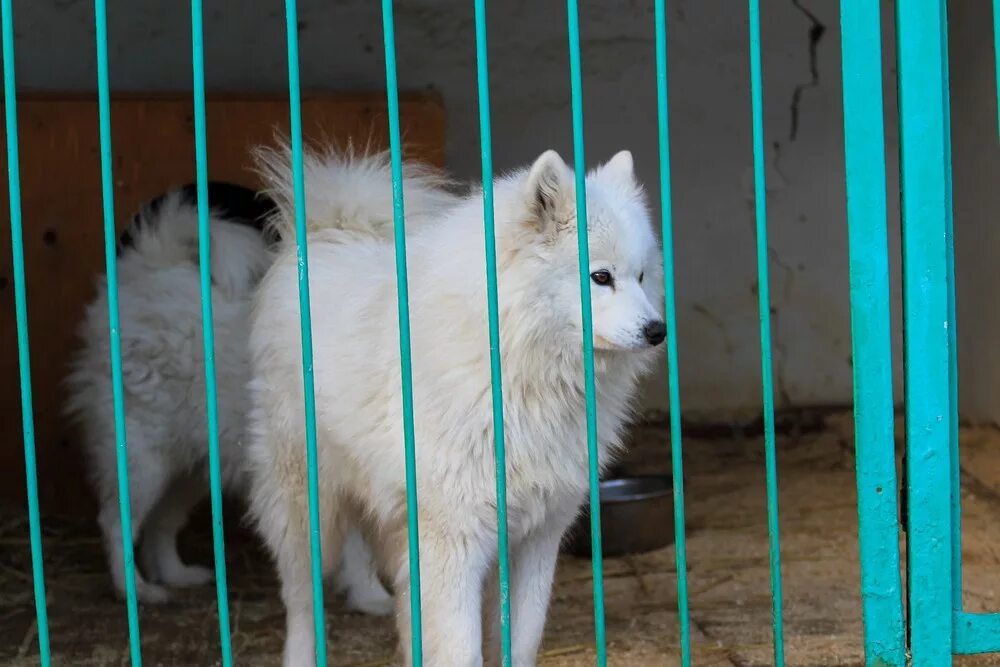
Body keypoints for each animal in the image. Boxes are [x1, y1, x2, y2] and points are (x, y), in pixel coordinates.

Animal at [62, 184, 390, 616]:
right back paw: (137, 591)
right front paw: (374, 598)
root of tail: (148, 269)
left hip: (191, 466)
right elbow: (362, 553)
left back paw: (177, 576)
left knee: (161, 524)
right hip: (142, 457)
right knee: (117, 523)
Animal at [245, 144, 664, 664]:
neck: (520, 369)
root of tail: (331, 232)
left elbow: (521, 641)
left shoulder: (536, 536)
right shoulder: (454, 540)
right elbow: (461, 649)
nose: (657, 330)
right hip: (304, 508)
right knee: (301, 600)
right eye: (600, 277)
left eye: (642, 276)